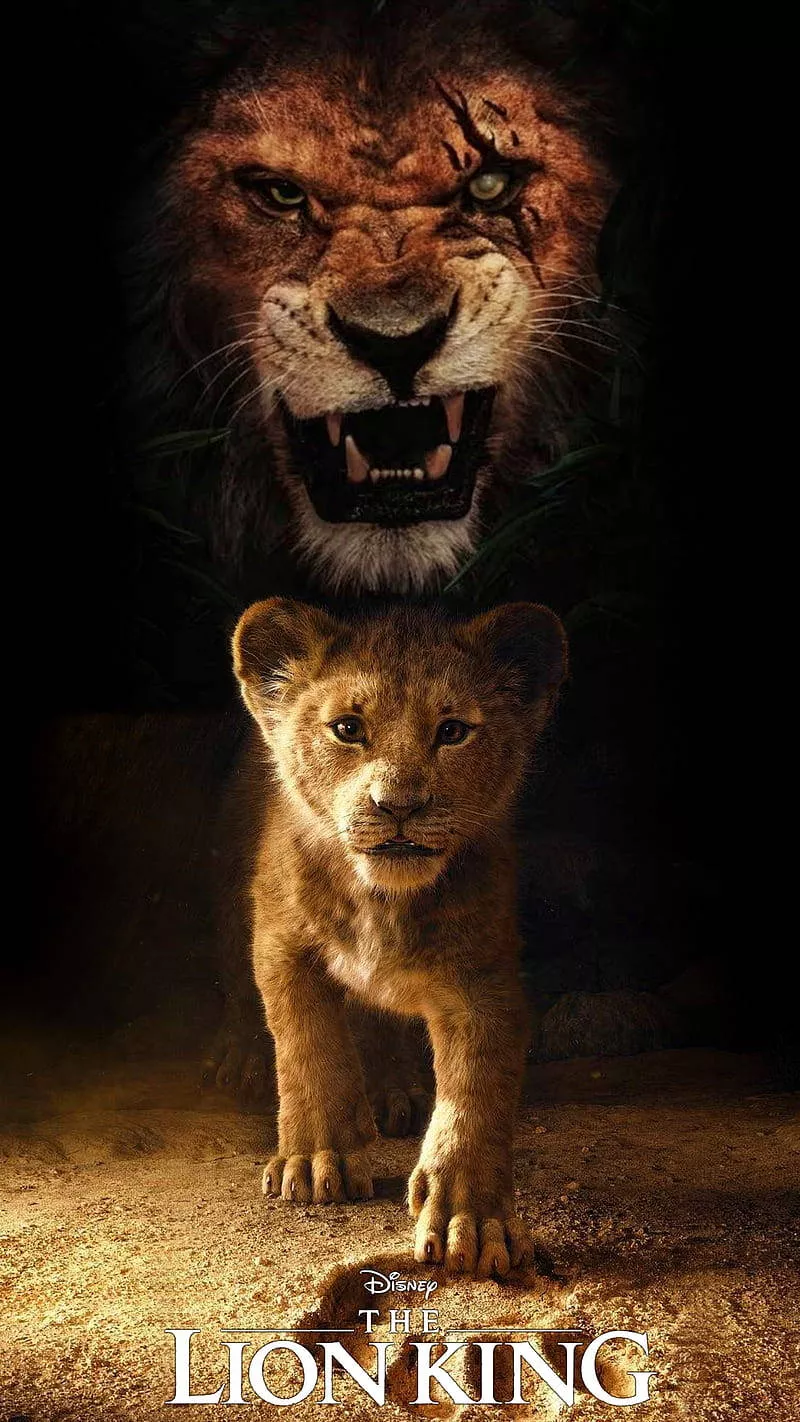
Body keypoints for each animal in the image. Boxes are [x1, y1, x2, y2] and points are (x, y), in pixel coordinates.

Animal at [231, 595, 567, 1274]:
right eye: (347, 729)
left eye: (453, 731)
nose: (399, 805)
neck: (381, 900)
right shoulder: (281, 941)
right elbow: (309, 1046)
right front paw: (317, 1159)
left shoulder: (483, 976)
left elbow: (476, 1091)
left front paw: (473, 1218)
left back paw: (395, 1093)